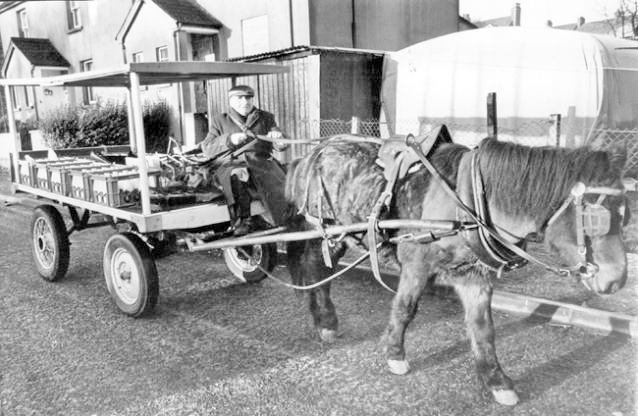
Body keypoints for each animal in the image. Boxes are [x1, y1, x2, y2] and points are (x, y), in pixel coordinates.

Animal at [286, 134, 632, 406]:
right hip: (325, 230)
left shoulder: (474, 276)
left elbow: (483, 328)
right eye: (595, 217)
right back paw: (325, 321)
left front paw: (496, 380)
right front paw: (395, 354)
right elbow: (405, 309)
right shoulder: (416, 264)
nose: (617, 280)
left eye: (625, 214)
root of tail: (313, 152)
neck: (467, 204)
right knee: (315, 270)